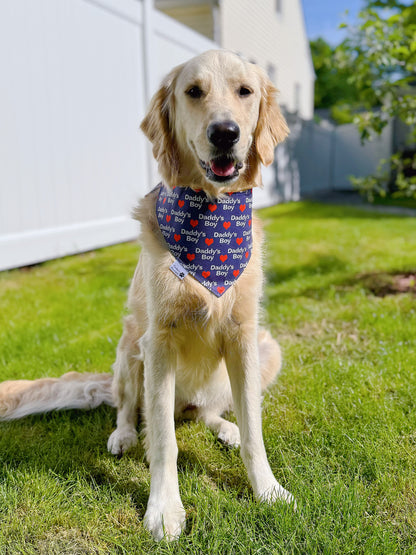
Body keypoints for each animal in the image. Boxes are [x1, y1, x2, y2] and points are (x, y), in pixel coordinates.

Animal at [0, 50, 294, 540]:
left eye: (245, 92)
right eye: (193, 91)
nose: (225, 132)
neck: (210, 219)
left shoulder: (244, 336)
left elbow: (254, 429)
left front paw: (267, 489)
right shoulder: (158, 342)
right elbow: (162, 438)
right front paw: (164, 509)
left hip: (267, 350)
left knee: (205, 413)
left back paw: (224, 428)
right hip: (128, 349)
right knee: (130, 409)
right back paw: (122, 435)